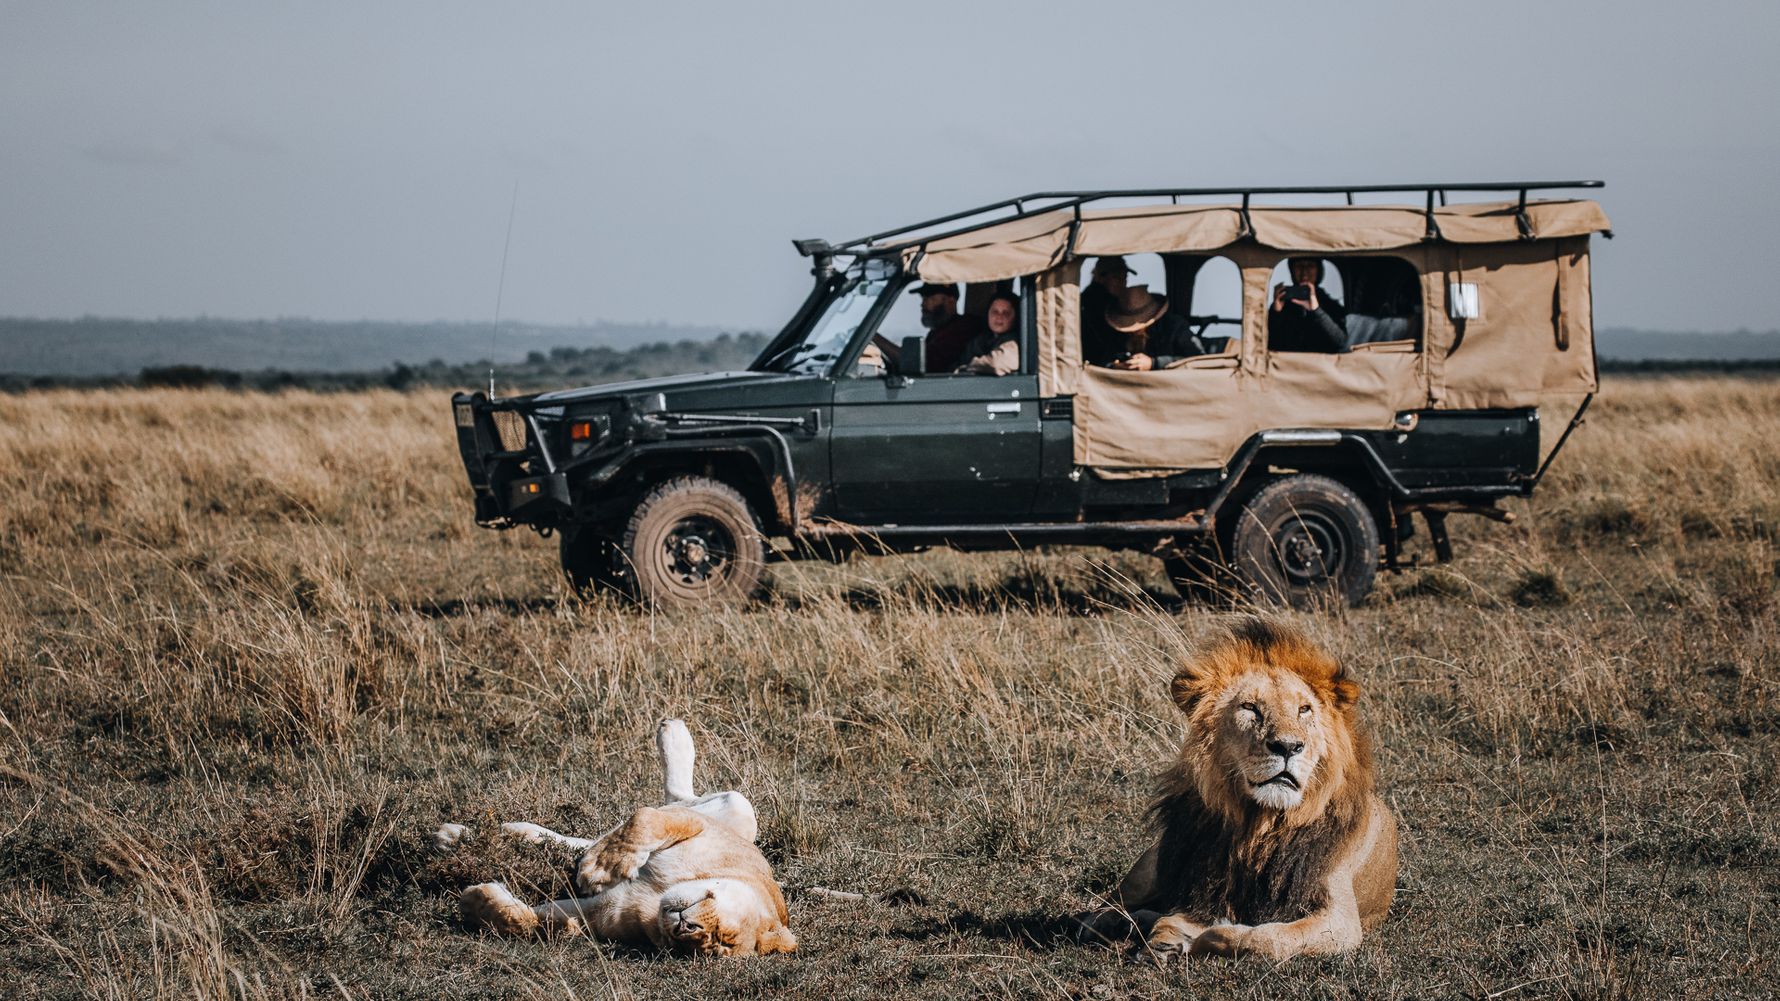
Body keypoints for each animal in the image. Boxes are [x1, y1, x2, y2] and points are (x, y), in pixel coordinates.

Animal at [443, 719, 797, 957]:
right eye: (725, 933)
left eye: (709, 947)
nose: (686, 929)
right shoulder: (696, 826)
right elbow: (645, 819)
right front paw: (600, 867)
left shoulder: (602, 913)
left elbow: (531, 922)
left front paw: (479, 901)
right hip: (737, 812)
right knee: (677, 798)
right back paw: (673, 732)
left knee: (573, 843)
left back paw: (462, 836)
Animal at [1084, 619, 1398, 961]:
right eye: (1250, 708)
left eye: (1304, 710)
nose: (1288, 746)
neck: (1261, 826)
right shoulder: (1204, 887)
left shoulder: (1341, 918)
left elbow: (1268, 937)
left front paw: (1202, 935)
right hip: (1149, 867)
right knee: (1107, 903)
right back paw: (1111, 922)